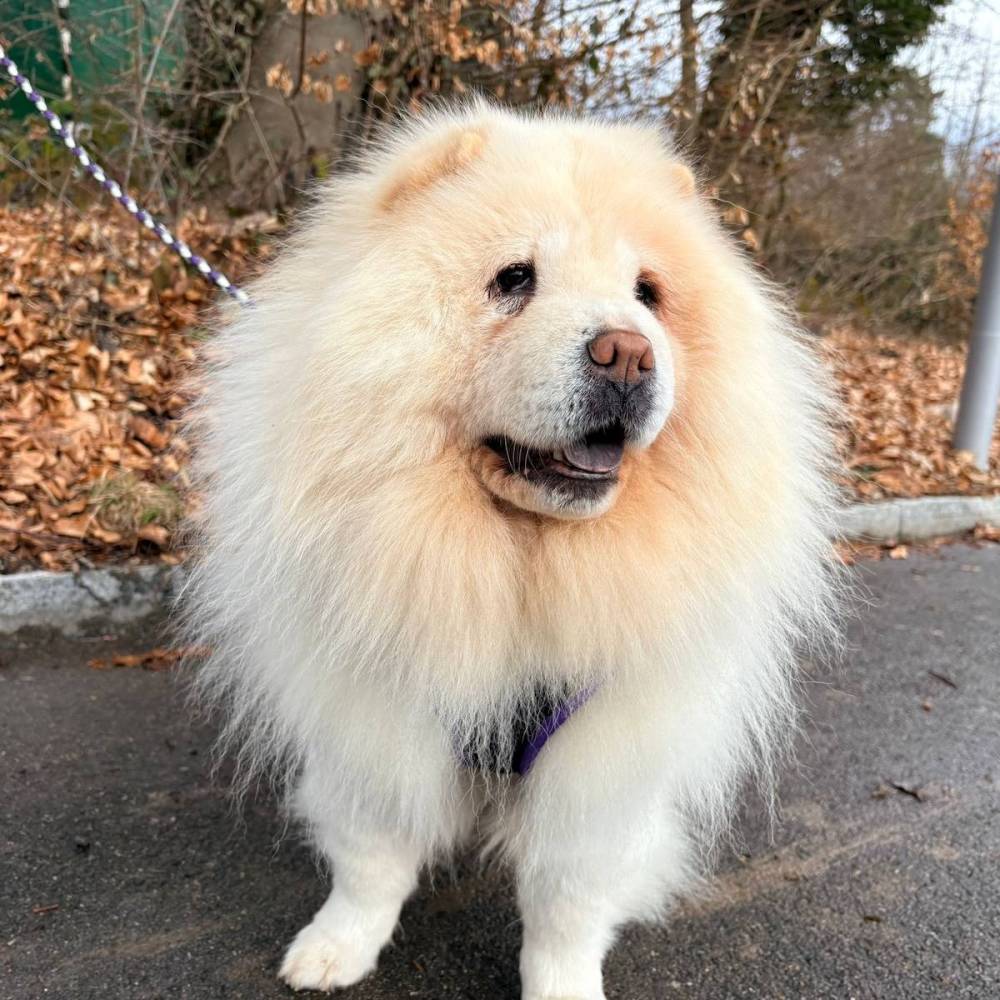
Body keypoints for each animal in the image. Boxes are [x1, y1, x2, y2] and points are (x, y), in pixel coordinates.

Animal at [185, 103, 840, 999]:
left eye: (649, 294)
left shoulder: (601, 759)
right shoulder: (376, 716)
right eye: (514, 278)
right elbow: (371, 857)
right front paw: (335, 949)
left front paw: (561, 985)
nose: (629, 353)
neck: (519, 564)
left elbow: (565, 899)